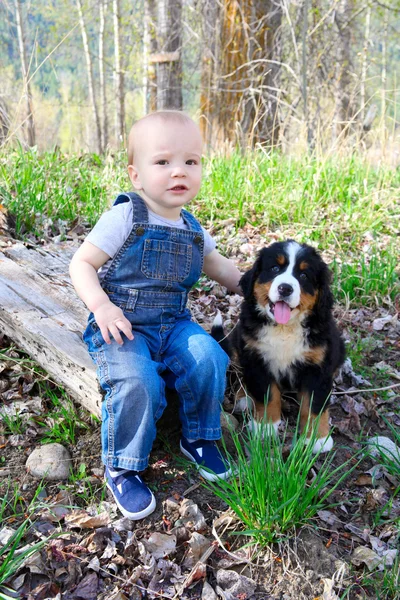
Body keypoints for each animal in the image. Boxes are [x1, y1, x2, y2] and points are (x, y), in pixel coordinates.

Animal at [214, 241, 346, 452]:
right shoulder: (257, 359)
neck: (284, 329)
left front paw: (317, 439)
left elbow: (315, 404)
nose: (285, 288)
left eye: (304, 275)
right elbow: (267, 395)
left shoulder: (318, 367)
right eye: (275, 268)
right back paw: (244, 398)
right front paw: (266, 427)